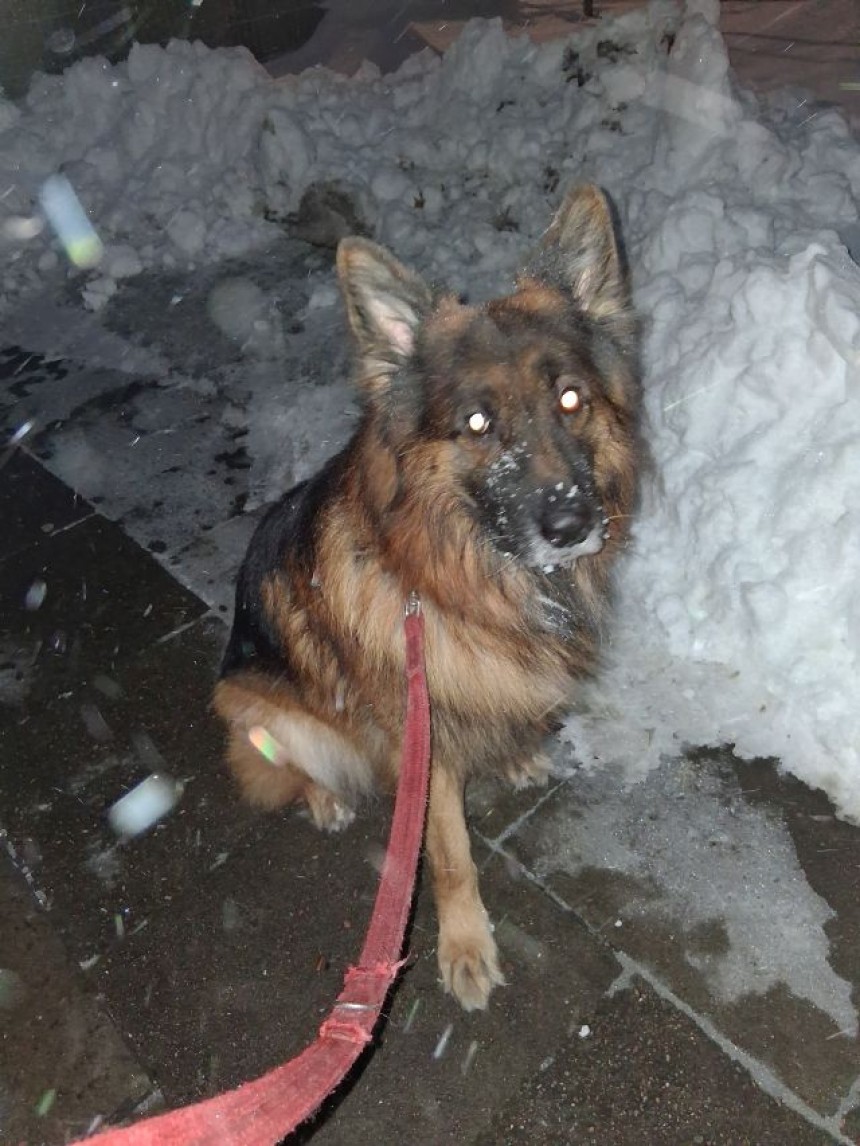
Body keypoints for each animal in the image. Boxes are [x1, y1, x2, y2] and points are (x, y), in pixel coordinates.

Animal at [213, 184, 640, 1011]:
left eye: (571, 399)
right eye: (477, 422)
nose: (572, 526)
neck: (472, 581)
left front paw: (517, 752)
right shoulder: (423, 736)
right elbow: (446, 851)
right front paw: (466, 947)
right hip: (254, 705)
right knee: (289, 765)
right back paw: (325, 798)